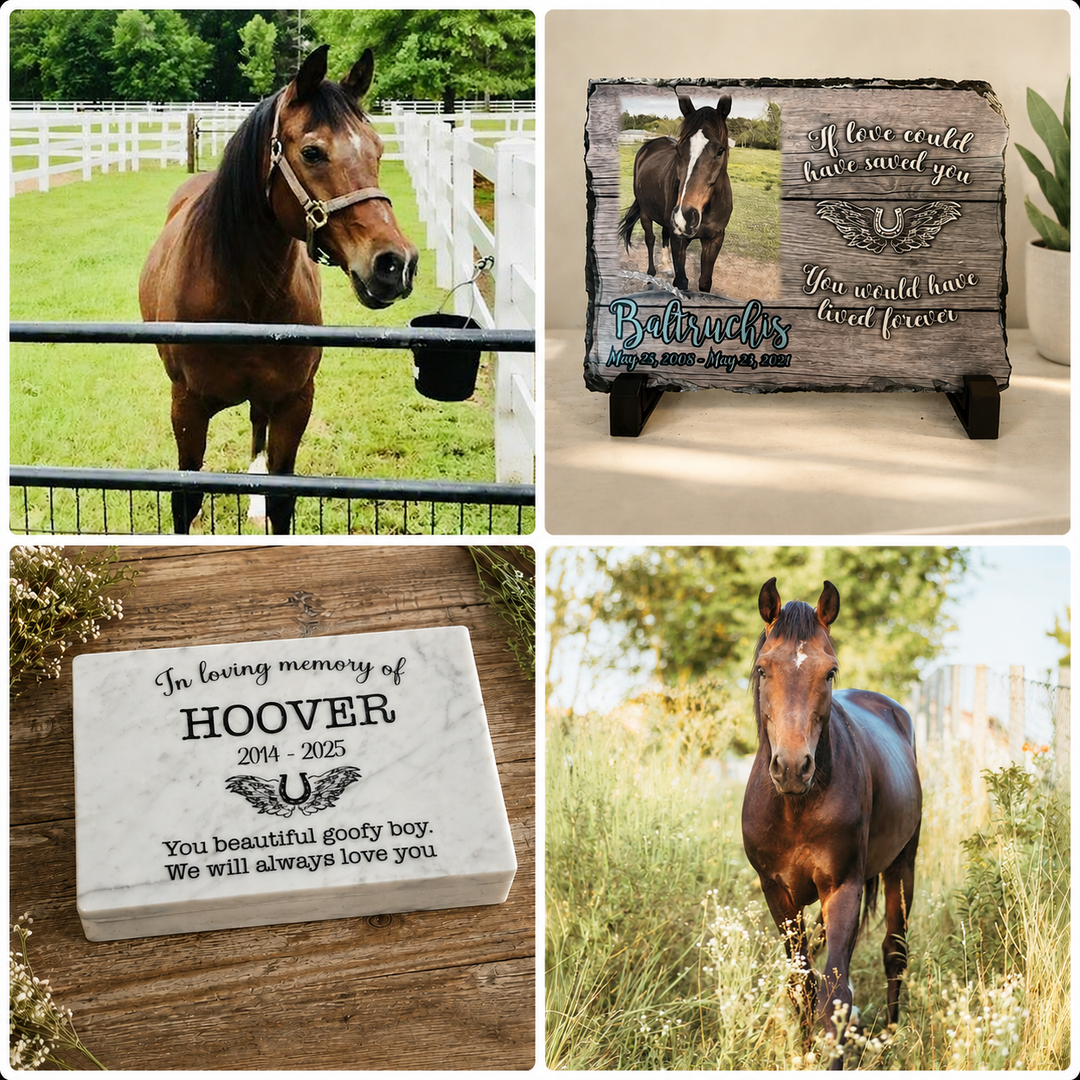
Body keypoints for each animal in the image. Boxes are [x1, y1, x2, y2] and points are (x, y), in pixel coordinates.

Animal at [139, 45, 418, 534]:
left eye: (379, 150)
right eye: (312, 152)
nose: (395, 264)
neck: (242, 297)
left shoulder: (294, 403)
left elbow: (282, 496)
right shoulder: (187, 408)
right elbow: (185, 500)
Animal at [618, 94, 733, 294]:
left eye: (720, 151)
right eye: (679, 149)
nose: (684, 218)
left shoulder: (715, 239)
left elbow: (705, 282)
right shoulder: (679, 240)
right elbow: (681, 282)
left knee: (664, 233)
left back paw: (666, 265)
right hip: (646, 213)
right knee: (650, 240)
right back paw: (651, 277)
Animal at [741, 579, 922, 1068]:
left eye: (830, 672)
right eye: (763, 669)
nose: (791, 767)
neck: (796, 806)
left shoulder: (842, 887)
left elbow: (836, 993)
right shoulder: (777, 893)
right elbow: (801, 984)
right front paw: (803, 1053)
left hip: (902, 866)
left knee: (894, 954)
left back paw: (891, 1038)